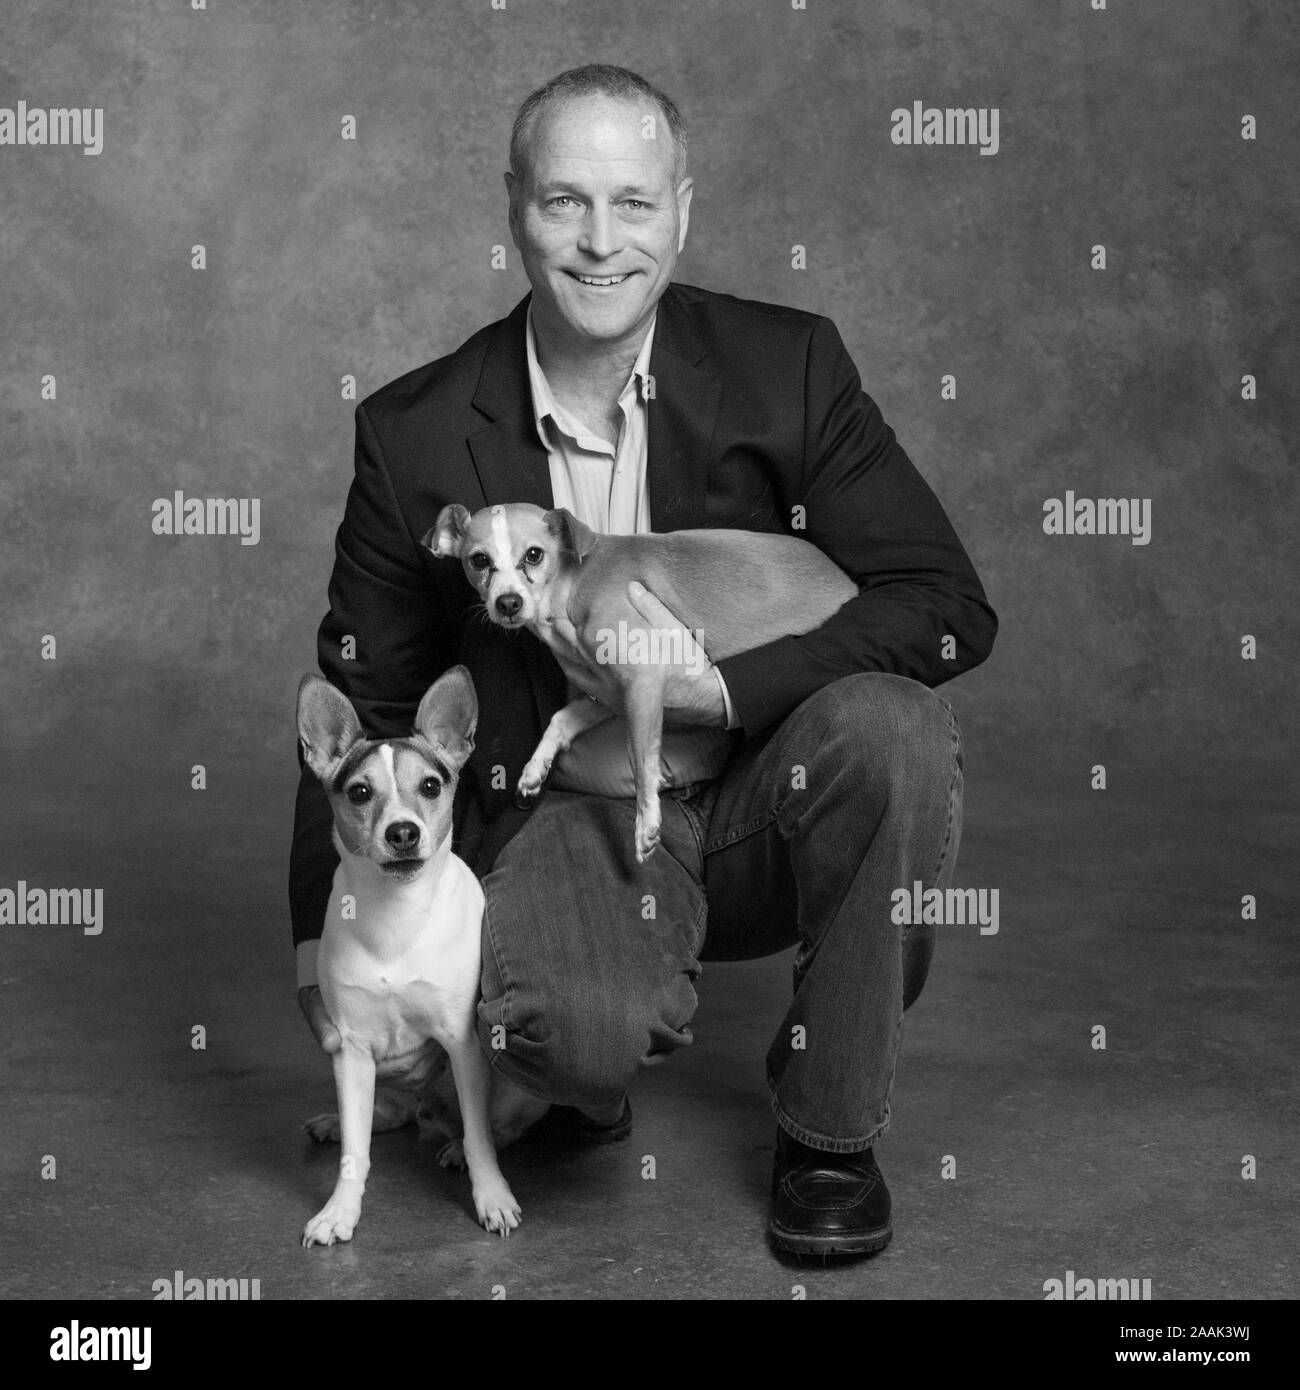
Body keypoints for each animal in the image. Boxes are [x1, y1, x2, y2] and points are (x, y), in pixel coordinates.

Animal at [294, 667, 522, 1245]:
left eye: (430, 786)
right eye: (359, 792)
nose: (402, 832)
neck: (396, 913)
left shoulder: (463, 1044)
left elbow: (481, 1139)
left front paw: (492, 1197)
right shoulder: (349, 1049)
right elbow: (356, 1154)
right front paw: (340, 1211)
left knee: (493, 1127)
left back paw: (455, 1147)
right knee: (387, 1114)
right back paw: (344, 1121)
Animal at [422, 505, 856, 861]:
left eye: (533, 555)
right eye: (479, 561)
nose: (508, 603)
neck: (571, 582)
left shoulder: (642, 679)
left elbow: (639, 756)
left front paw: (646, 822)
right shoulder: (609, 695)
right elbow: (561, 720)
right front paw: (535, 770)